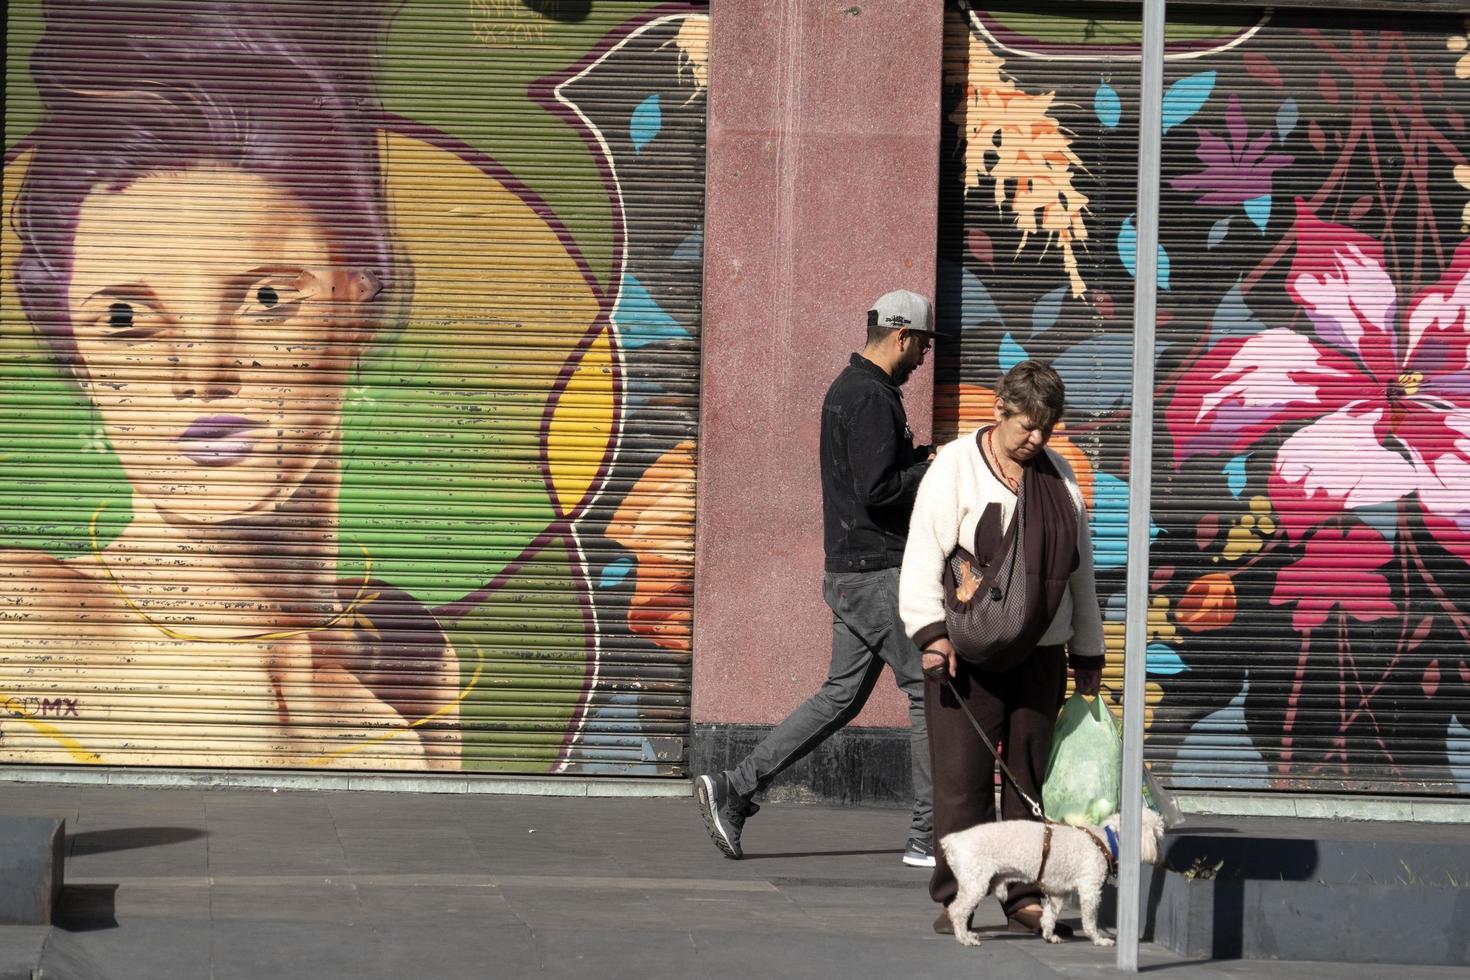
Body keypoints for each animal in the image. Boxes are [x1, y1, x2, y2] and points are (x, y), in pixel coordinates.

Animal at [940, 805, 1158, 952]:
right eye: (1160, 830)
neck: (1105, 841)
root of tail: (953, 841)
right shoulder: (1090, 889)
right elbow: (1090, 920)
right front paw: (1098, 939)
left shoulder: (1057, 893)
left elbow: (1049, 917)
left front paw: (1049, 935)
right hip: (975, 882)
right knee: (957, 910)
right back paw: (964, 938)